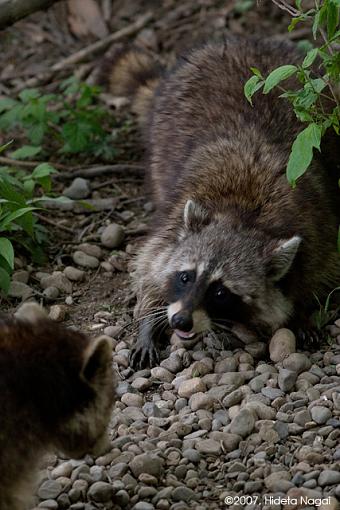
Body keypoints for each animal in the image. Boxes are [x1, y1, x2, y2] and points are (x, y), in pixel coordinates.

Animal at [108, 36, 340, 370]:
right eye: (185, 277)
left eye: (220, 291)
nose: (180, 321)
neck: (242, 216)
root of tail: (241, 41)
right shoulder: (172, 221)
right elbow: (150, 265)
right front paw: (149, 319)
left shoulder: (318, 231)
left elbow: (318, 275)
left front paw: (302, 311)